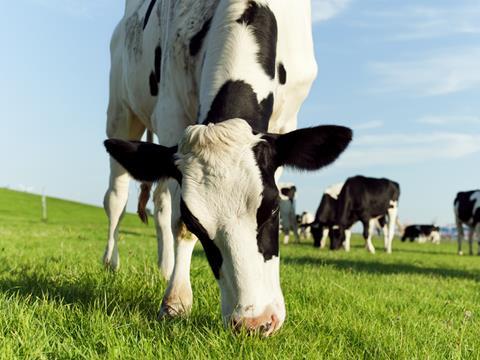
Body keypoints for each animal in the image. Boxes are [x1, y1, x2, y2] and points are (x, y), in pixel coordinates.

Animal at [102, 0, 352, 338]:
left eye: (273, 208)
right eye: (196, 223)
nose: (255, 322)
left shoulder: (286, 120)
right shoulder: (171, 113)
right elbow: (177, 223)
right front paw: (176, 301)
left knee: (160, 202)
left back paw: (165, 267)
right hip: (121, 109)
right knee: (117, 197)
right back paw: (111, 261)